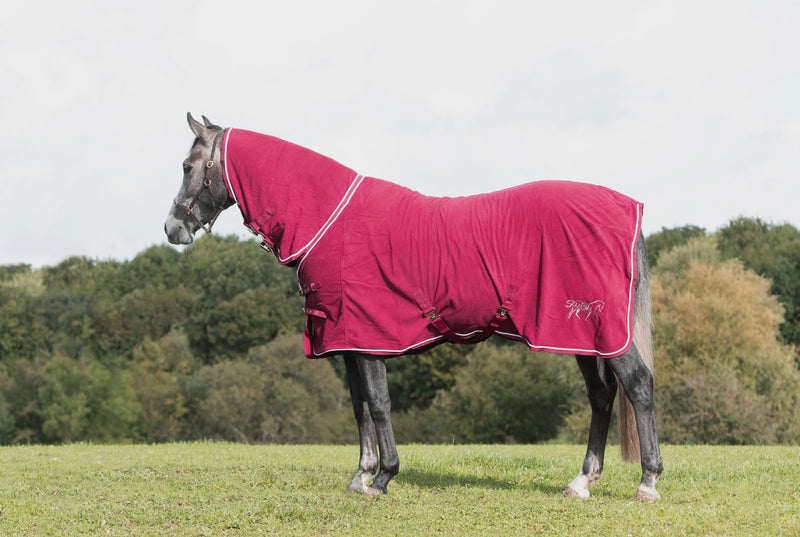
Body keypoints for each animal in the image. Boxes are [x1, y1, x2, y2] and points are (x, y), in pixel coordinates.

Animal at [162, 114, 664, 502]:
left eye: (187, 166)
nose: (172, 229)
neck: (332, 220)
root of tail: (625, 206)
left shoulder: (367, 337)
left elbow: (380, 404)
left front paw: (383, 478)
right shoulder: (348, 340)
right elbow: (360, 406)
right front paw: (361, 475)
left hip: (600, 329)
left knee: (638, 386)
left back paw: (647, 482)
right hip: (577, 333)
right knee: (601, 396)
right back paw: (581, 482)